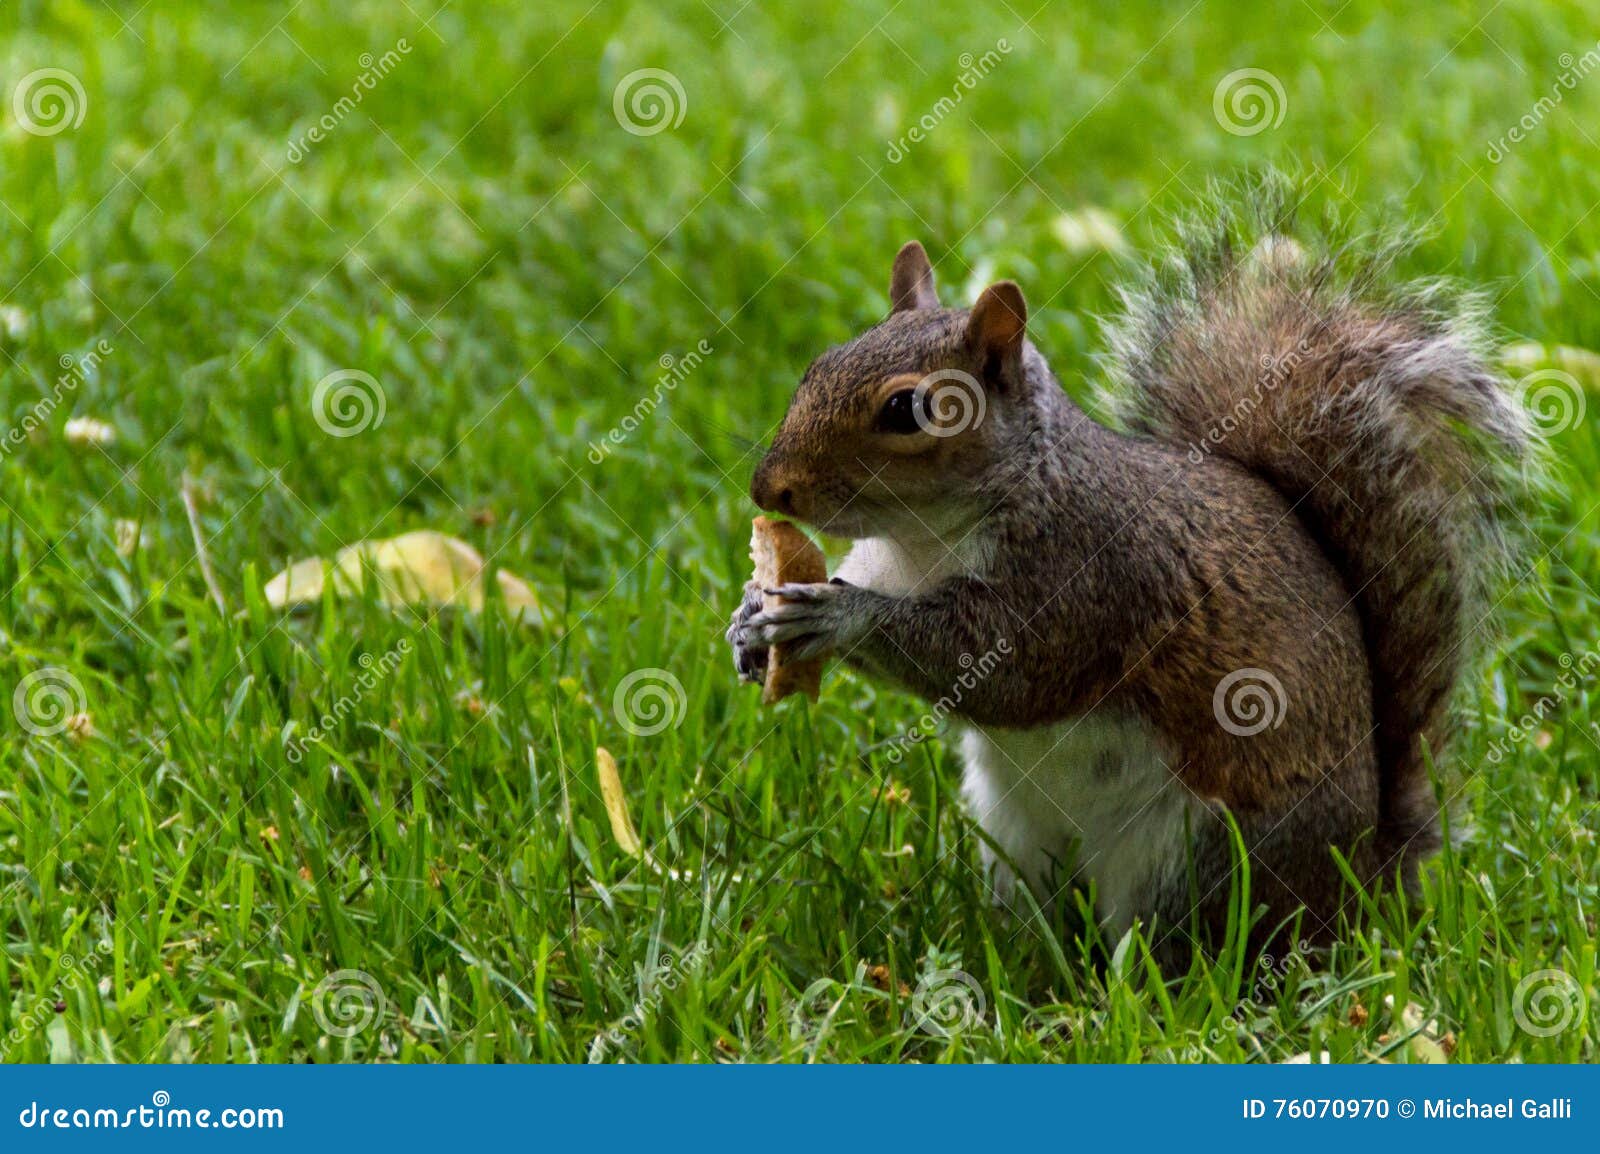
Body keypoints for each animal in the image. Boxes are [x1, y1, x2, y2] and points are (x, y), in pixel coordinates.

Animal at [727, 191, 1531, 952]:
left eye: (906, 409)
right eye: (818, 364)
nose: (768, 490)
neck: (918, 542)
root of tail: (1363, 883)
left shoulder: (1084, 581)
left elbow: (996, 671)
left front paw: (835, 616)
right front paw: (748, 621)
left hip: (1195, 862)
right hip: (1015, 833)